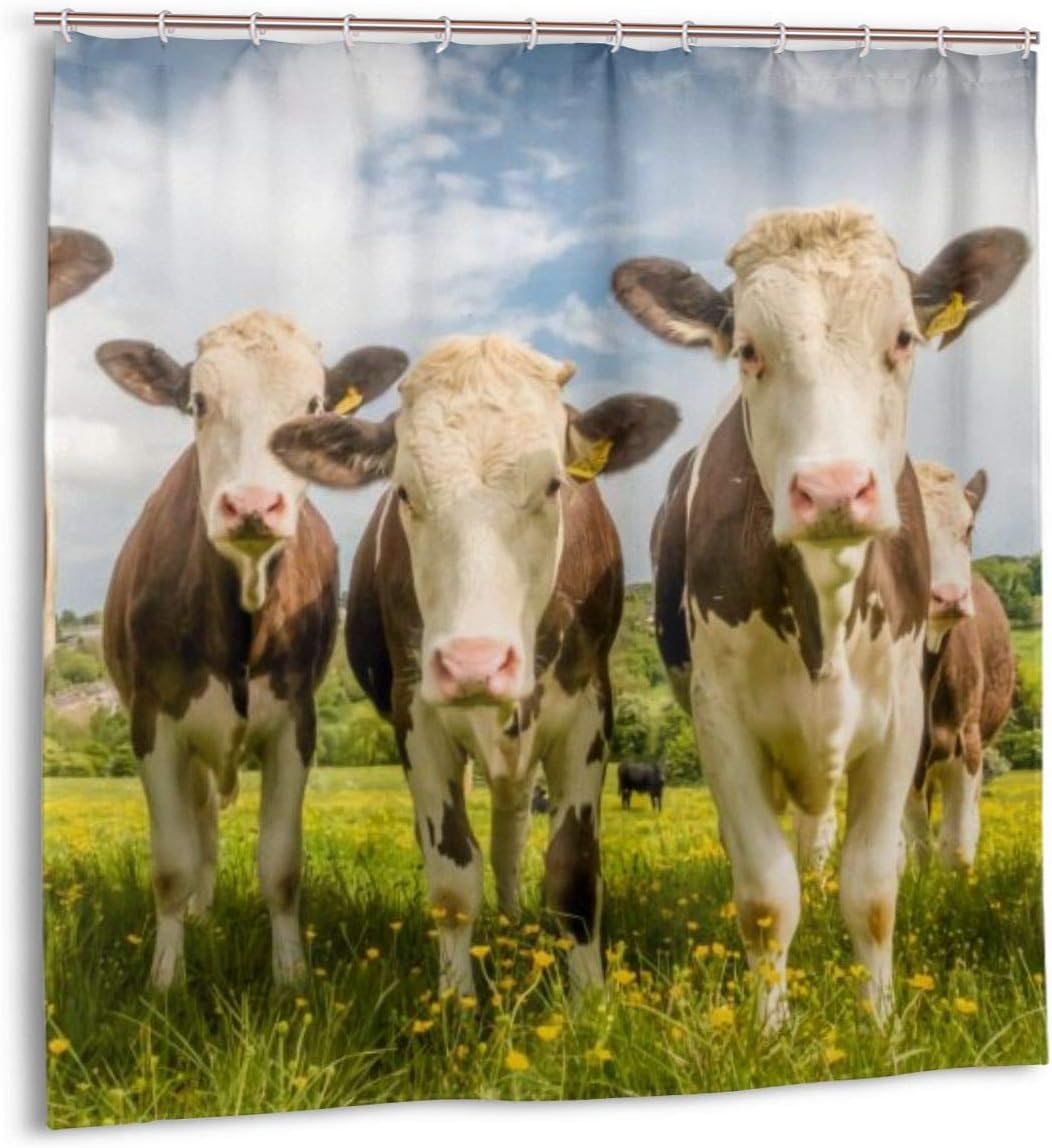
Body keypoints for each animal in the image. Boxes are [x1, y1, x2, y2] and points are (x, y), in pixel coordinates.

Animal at [97, 310, 407, 989]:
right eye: (198, 403)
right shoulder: (153, 722)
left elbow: (282, 865)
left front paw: (291, 978)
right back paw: (200, 913)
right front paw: (166, 979)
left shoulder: (296, 720)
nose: (251, 505)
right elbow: (172, 864)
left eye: (314, 406)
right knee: (202, 830)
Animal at [270, 334, 679, 997]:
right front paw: (455, 999)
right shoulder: (418, 718)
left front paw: (590, 998)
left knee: (511, 830)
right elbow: (454, 879)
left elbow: (573, 874)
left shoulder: (589, 715)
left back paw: (513, 921)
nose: (473, 663)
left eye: (554, 485)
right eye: (405, 492)